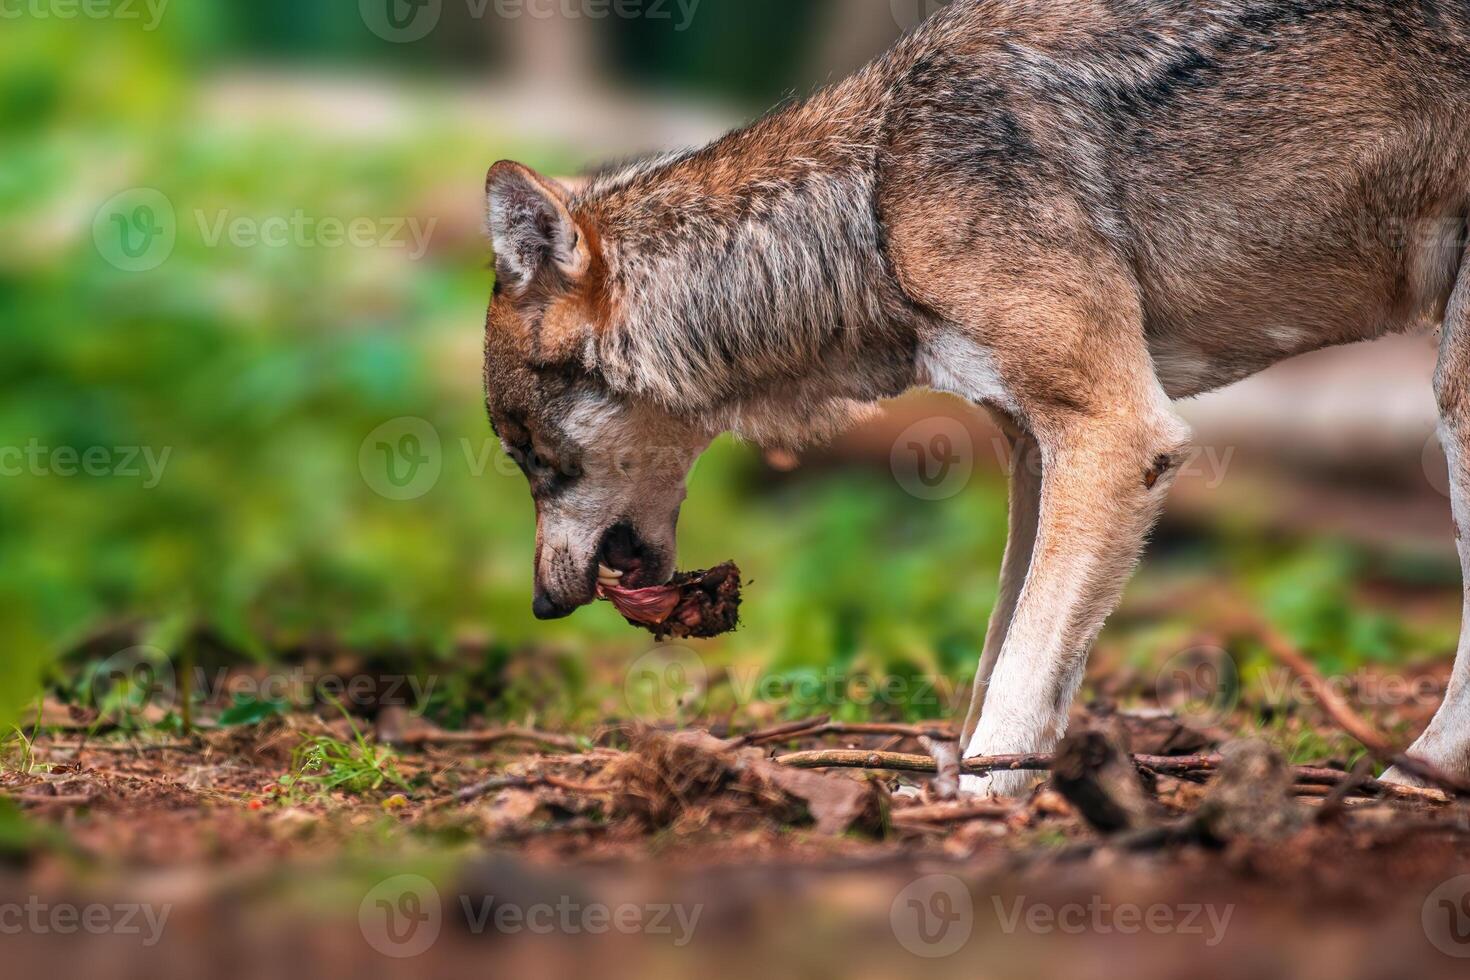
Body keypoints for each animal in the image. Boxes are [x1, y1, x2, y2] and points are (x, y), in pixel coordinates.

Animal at [482, 0, 1470, 799]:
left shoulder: (1116, 433)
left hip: (1453, 388)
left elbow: (1025, 661)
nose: (541, 606)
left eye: (527, 454)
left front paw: (993, 803)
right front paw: (975, 786)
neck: (874, 202)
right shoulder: (1036, 453)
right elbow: (1005, 650)